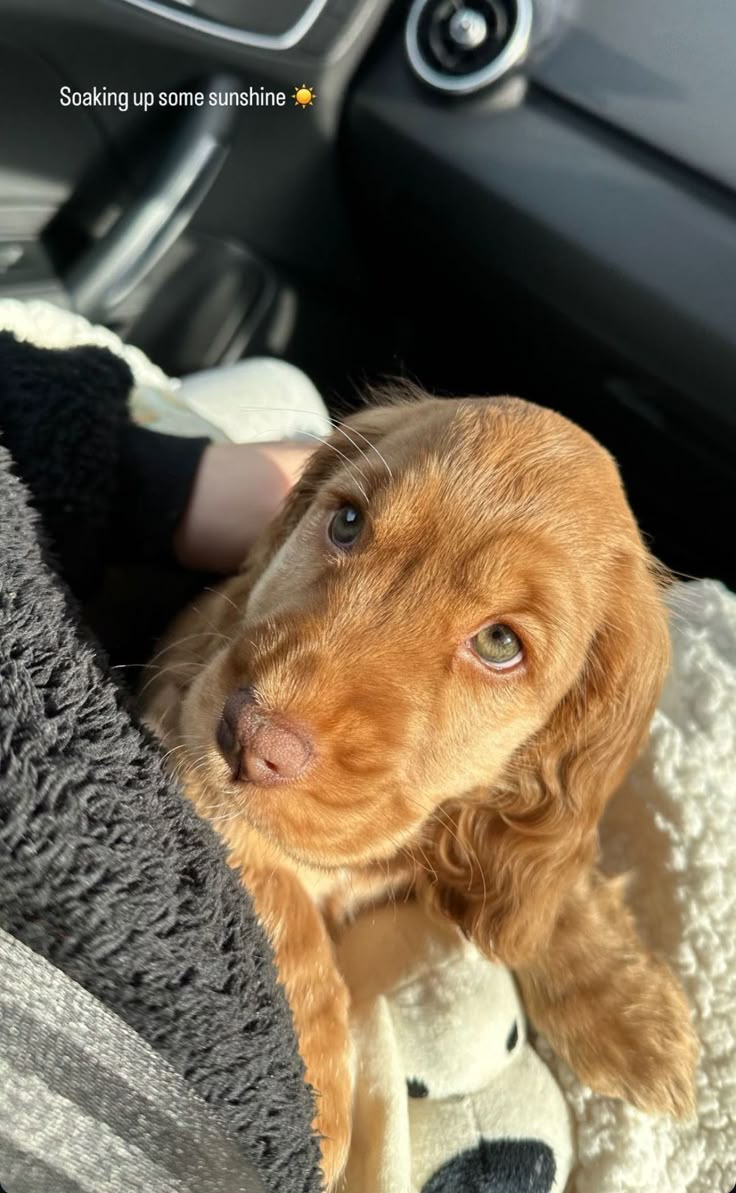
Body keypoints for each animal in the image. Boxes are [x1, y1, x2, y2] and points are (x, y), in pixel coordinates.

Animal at [144, 393, 701, 1183]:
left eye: (500, 643)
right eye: (347, 522)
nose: (250, 739)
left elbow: (554, 882)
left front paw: (633, 1020)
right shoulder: (182, 736)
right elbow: (285, 907)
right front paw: (315, 1099)